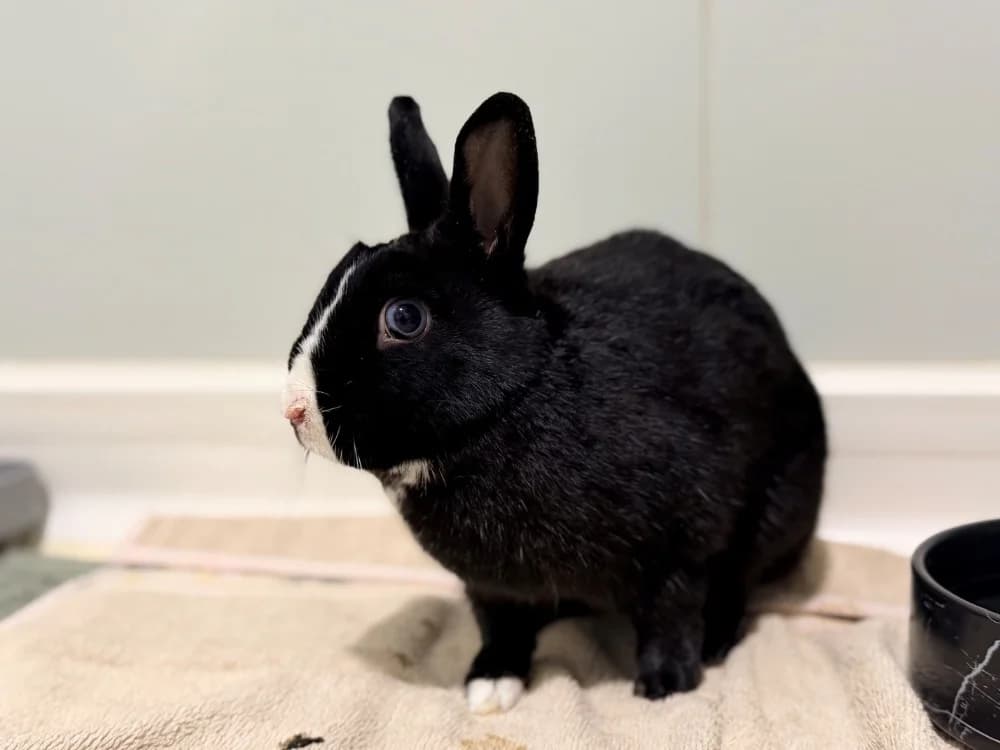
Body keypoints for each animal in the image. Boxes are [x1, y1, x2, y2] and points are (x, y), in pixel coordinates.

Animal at [282, 92, 826, 714]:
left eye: (403, 318)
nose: (295, 412)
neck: (509, 403)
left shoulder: (682, 546)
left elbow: (671, 613)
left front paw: (664, 685)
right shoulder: (492, 587)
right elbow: (500, 627)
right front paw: (489, 686)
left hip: (776, 509)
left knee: (738, 582)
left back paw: (713, 641)